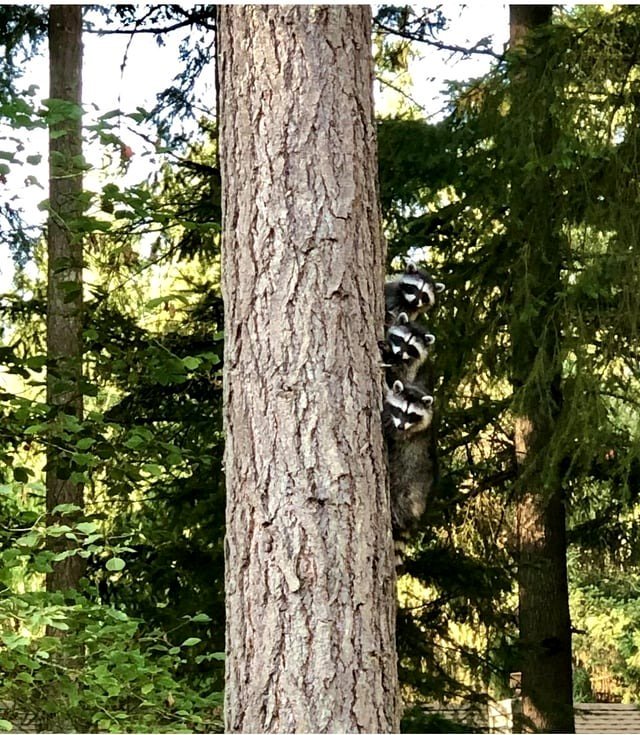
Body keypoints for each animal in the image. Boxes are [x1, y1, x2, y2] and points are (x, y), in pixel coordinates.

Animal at [383, 379, 436, 545]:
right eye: (400, 411)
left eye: (412, 415)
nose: (401, 426)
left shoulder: (404, 433)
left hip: (410, 485)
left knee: (401, 499)